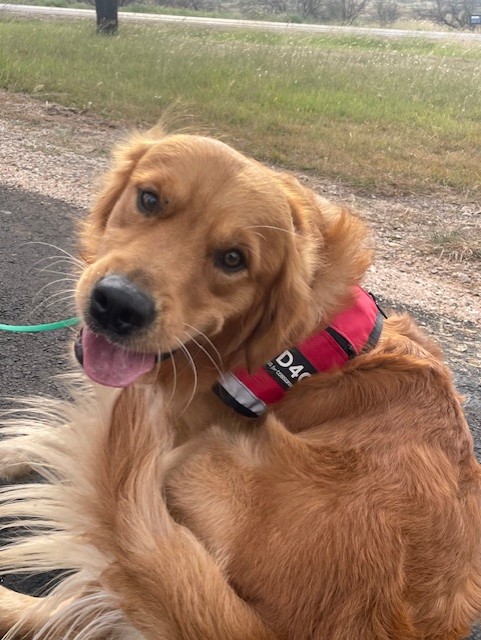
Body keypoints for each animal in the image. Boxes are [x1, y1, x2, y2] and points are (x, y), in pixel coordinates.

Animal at [0, 129, 480, 639]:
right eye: (148, 199)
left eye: (234, 259)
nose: (118, 306)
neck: (283, 350)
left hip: (202, 460)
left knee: (77, 602)